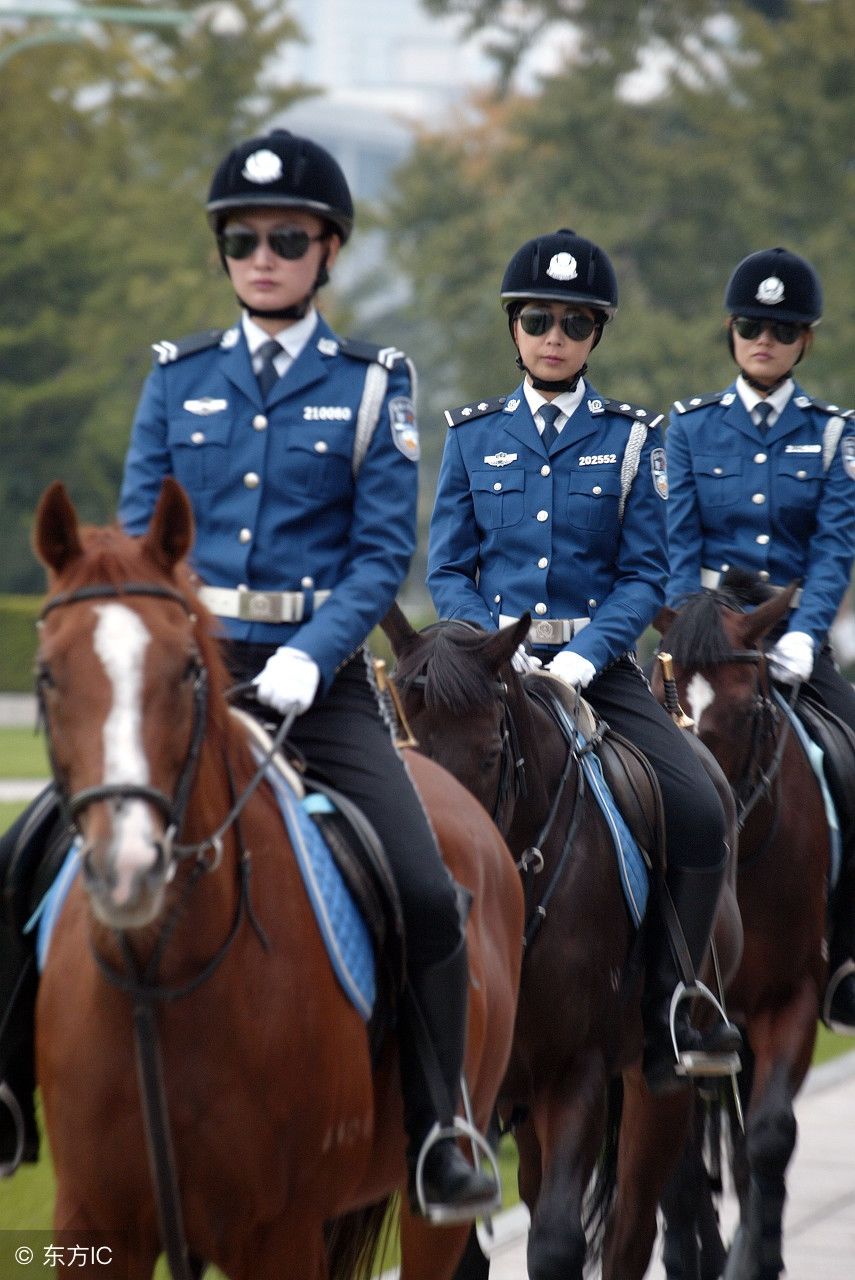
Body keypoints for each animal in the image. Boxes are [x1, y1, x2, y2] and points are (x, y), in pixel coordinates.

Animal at [31, 481, 522, 1280]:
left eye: (187, 669)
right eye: (47, 673)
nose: (128, 867)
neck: (165, 974)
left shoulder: (278, 1235)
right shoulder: (94, 1225)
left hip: (438, 1193)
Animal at [381, 606, 737, 1280]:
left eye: (492, 754)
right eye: (399, 750)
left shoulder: (575, 1072)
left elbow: (555, 1244)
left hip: (656, 1088)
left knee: (631, 1225)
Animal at [655, 588, 829, 1280]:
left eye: (751, 706)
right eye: (661, 695)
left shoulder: (792, 994)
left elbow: (768, 1135)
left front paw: (755, 1255)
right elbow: (679, 1164)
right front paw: (694, 1254)